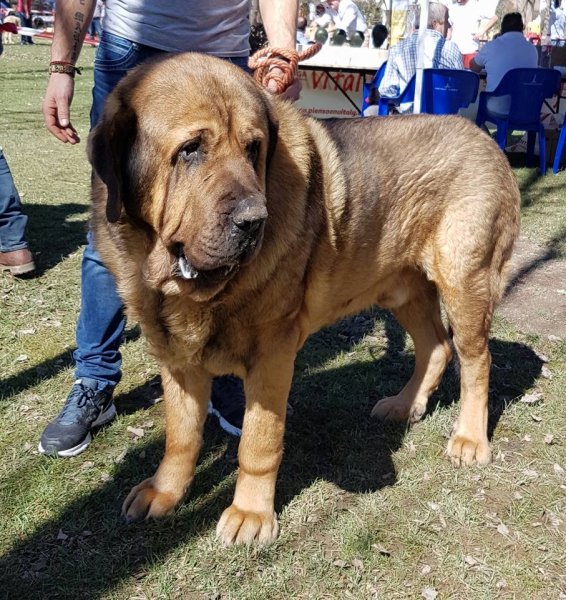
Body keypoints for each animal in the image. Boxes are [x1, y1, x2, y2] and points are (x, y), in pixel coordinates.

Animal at [87, 54, 524, 548]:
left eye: (253, 148)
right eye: (190, 149)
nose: (253, 221)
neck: (189, 288)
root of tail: (488, 141)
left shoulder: (272, 354)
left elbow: (258, 441)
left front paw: (251, 514)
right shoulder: (178, 360)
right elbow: (180, 437)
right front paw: (164, 492)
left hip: (464, 281)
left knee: (475, 360)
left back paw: (469, 438)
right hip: (404, 290)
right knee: (436, 347)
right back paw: (404, 404)